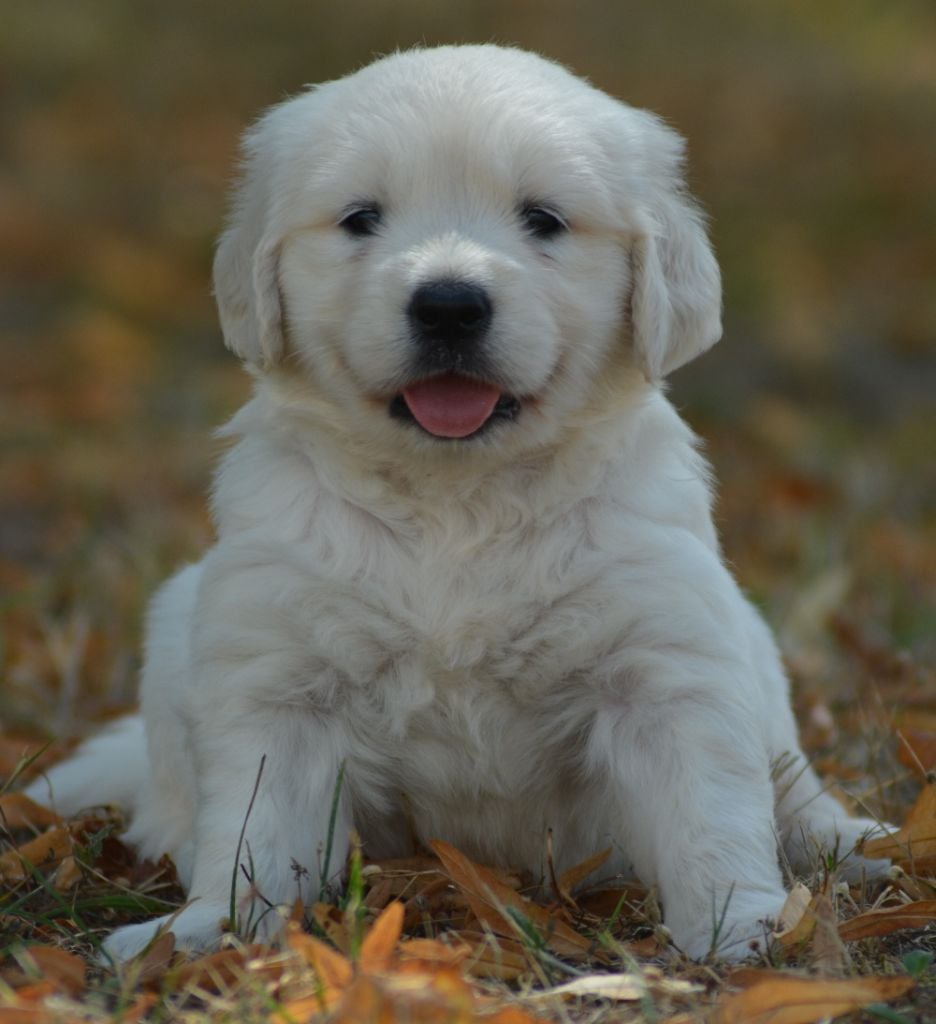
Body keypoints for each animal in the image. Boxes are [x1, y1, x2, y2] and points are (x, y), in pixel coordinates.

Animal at [29, 46, 884, 958]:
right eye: (361, 218)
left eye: (543, 219)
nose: (448, 303)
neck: (457, 500)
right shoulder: (281, 678)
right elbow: (257, 828)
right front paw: (211, 935)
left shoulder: (664, 661)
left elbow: (709, 812)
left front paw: (746, 932)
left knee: (787, 778)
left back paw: (843, 840)